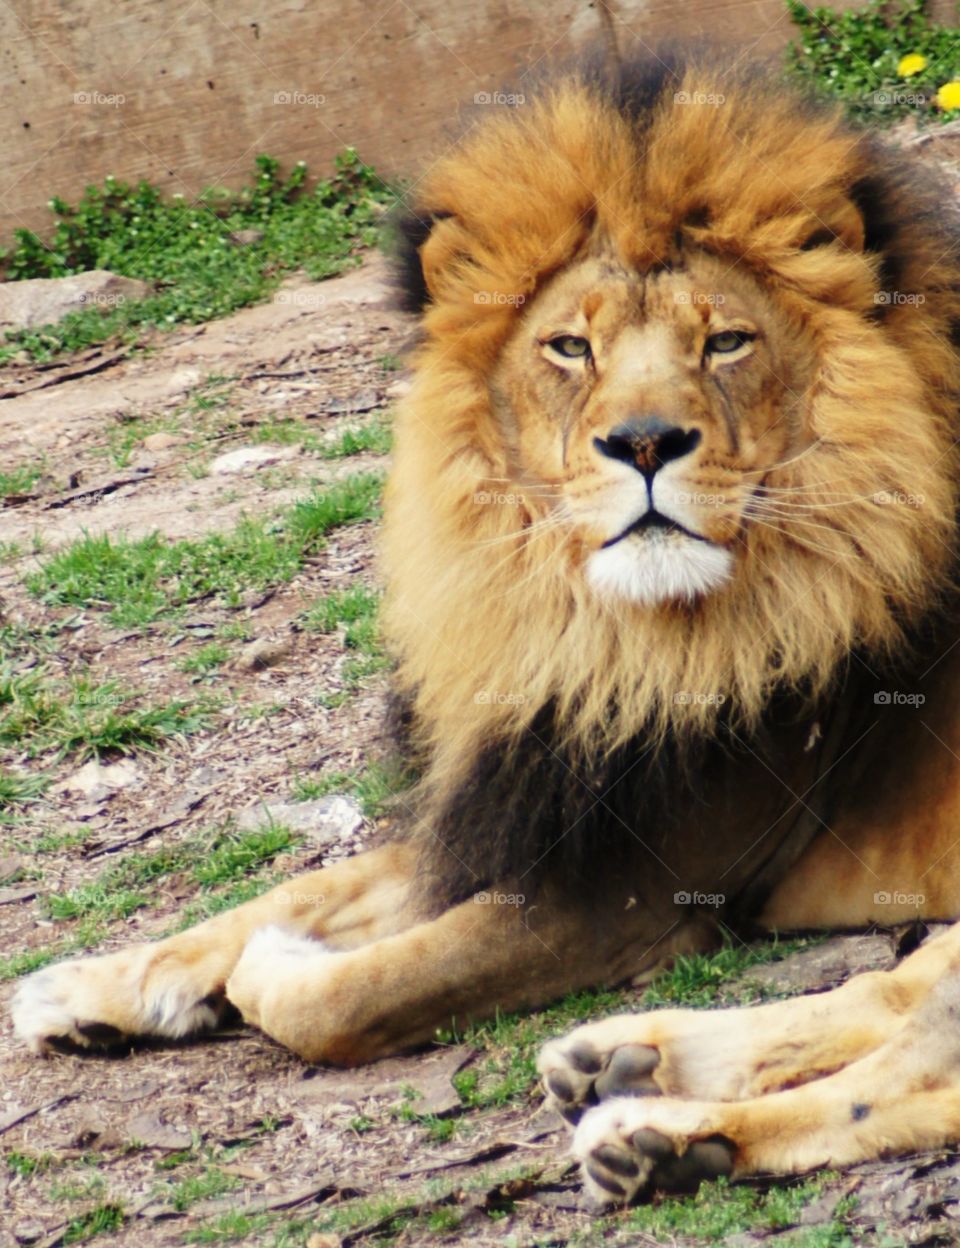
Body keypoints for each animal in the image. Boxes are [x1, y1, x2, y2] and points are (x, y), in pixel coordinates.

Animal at [13, 47, 960, 1204]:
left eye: (727, 342)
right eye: (570, 348)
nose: (646, 441)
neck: (596, 629)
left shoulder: (630, 894)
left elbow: (343, 994)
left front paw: (275, 965)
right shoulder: (524, 801)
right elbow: (307, 883)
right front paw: (89, 985)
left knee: (904, 1071)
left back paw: (658, 1134)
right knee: (882, 1003)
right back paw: (625, 1061)